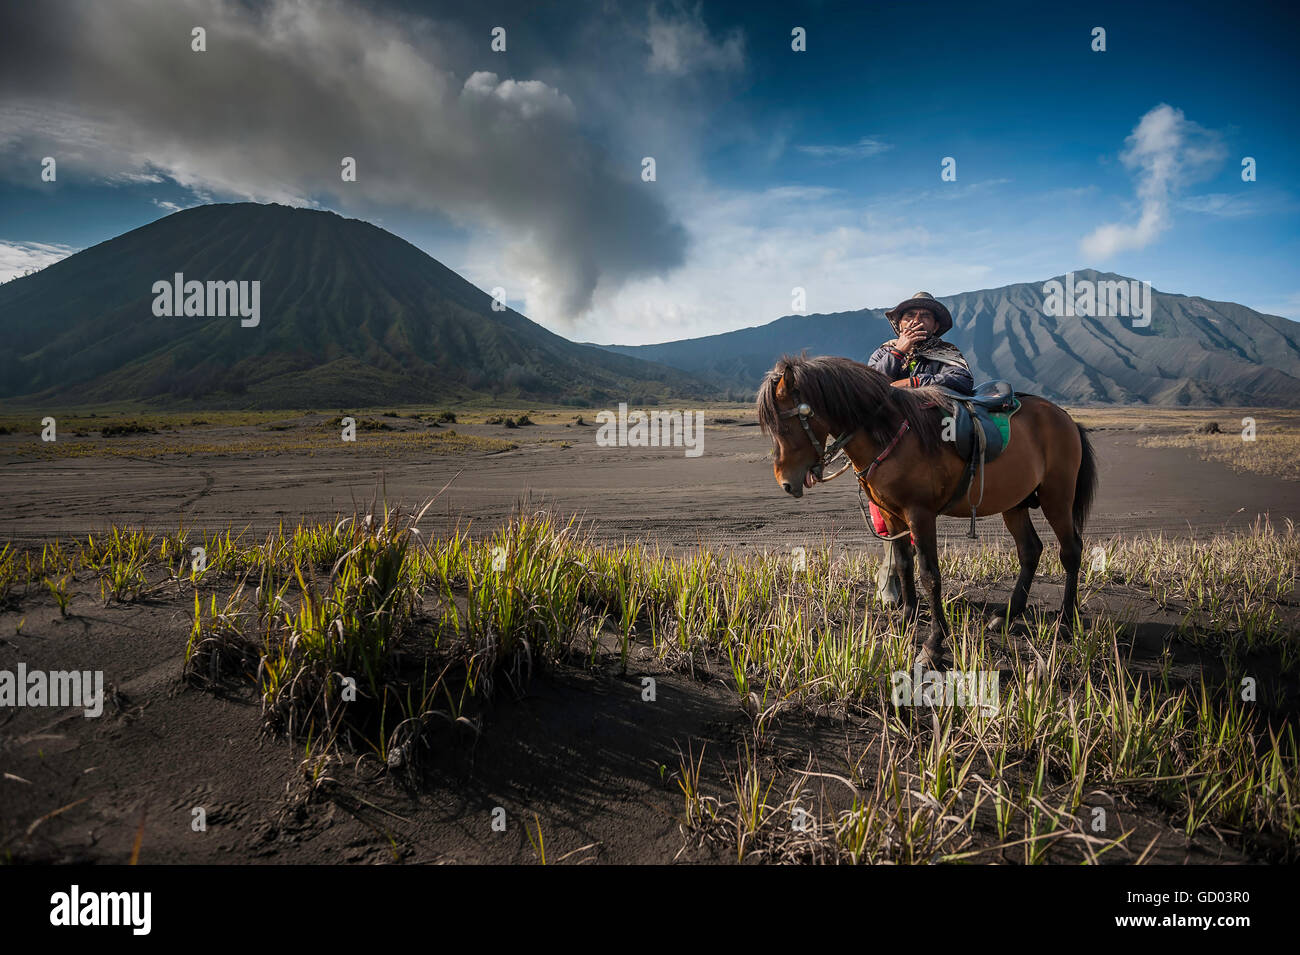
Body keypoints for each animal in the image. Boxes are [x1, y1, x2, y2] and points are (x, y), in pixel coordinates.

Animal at [759, 356, 1092, 665]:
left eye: (785, 425)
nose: (786, 482)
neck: (890, 431)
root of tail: (1064, 418)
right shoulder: (893, 515)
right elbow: (904, 564)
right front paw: (905, 619)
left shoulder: (920, 514)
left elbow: (929, 574)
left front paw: (933, 643)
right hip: (1015, 503)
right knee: (1030, 550)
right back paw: (1007, 615)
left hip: (1057, 496)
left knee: (1070, 551)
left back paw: (1067, 620)